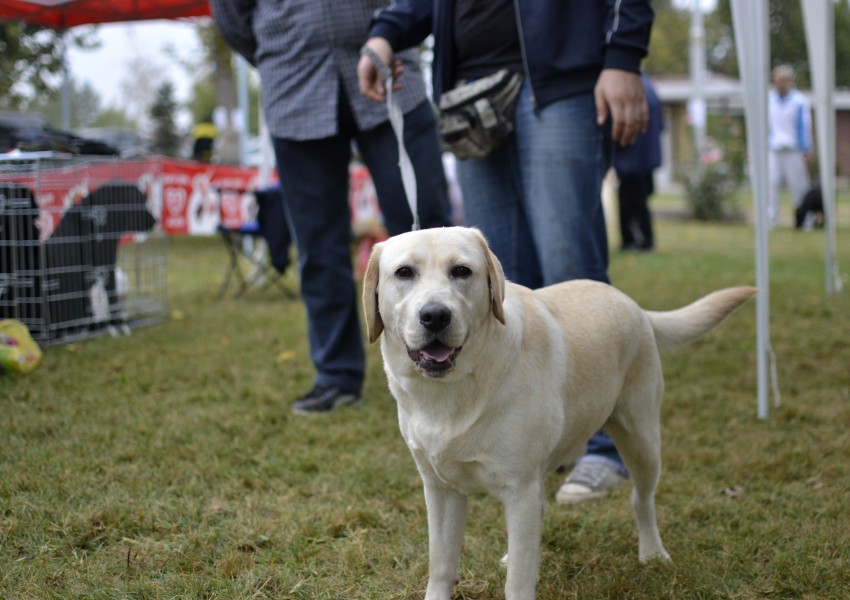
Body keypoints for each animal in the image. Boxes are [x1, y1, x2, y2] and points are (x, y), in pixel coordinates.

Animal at [362, 227, 752, 596]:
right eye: (404, 272)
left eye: (462, 271)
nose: (435, 316)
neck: (453, 391)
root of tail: (634, 305)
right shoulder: (441, 489)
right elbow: (441, 566)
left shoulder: (519, 487)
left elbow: (518, 582)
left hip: (641, 440)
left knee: (641, 500)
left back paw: (653, 553)